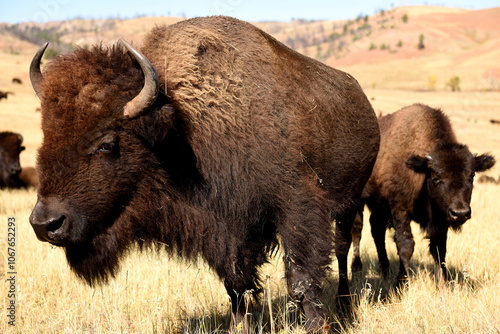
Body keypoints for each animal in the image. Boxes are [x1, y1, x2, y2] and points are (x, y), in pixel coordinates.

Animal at [352, 104, 496, 284]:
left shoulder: (440, 217)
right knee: (357, 229)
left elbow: (439, 247)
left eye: (471, 176)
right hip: (359, 200)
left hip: (379, 206)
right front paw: (403, 283)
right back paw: (356, 268)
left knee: (377, 229)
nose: (460, 213)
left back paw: (385, 271)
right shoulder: (399, 209)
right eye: (436, 178)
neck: (422, 173)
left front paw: (442, 283)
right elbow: (405, 245)